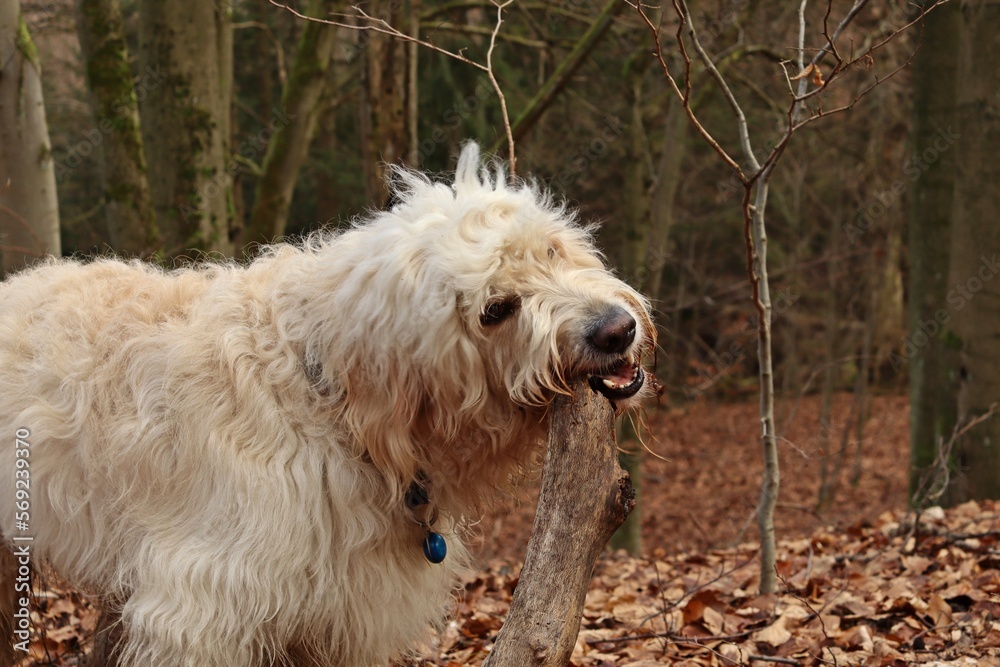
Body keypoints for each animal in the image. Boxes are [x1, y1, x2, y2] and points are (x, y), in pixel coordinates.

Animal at [0, 144, 656, 664]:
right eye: (495, 309)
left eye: (549, 251)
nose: (616, 330)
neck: (331, 406)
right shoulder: (200, 608)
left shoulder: (338, 620)